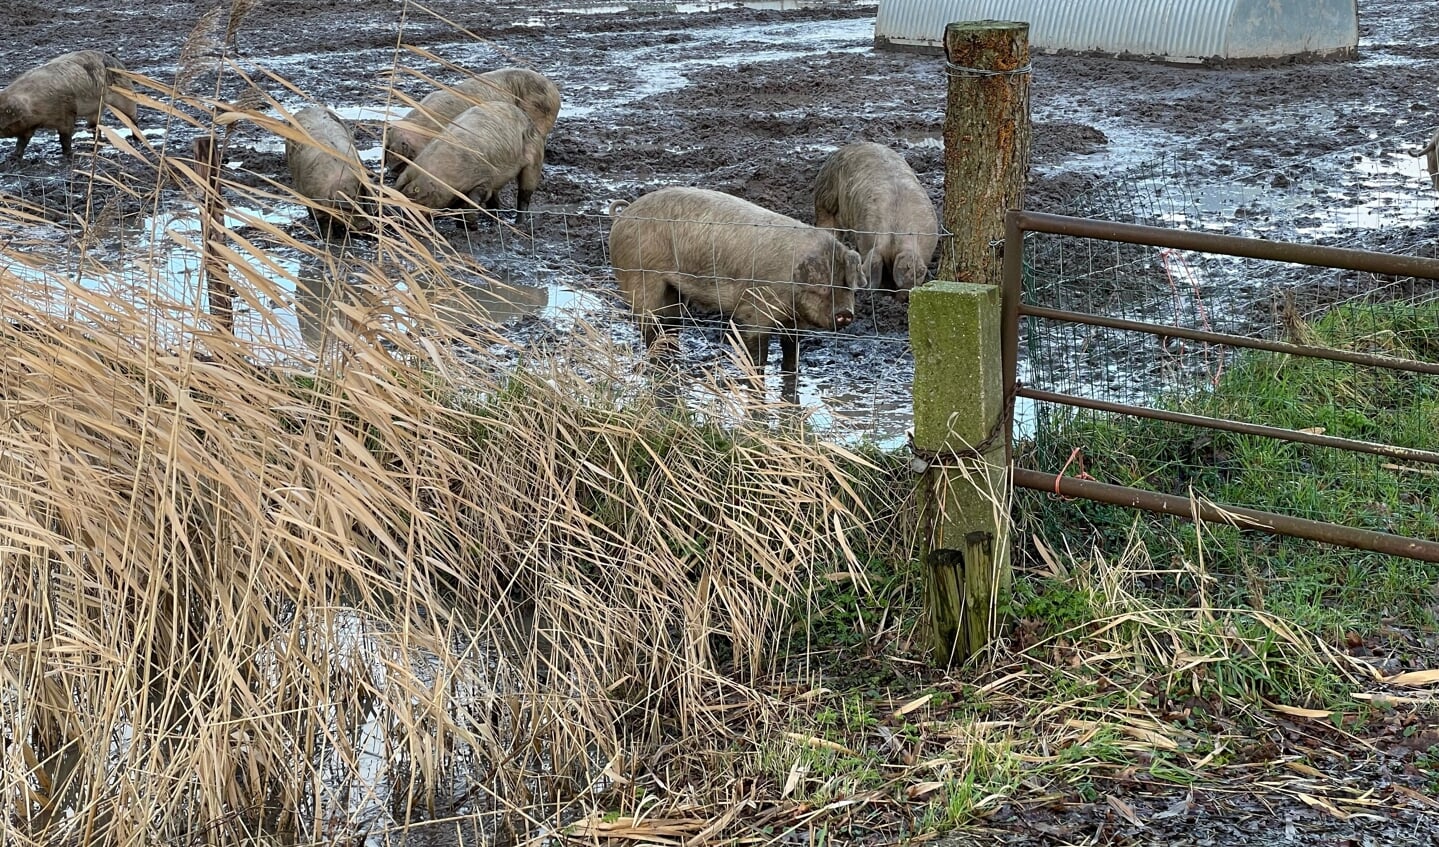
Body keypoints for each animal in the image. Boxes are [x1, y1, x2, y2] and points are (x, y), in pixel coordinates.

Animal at [0, 50, 138, 162]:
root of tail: (117, 61)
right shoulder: (29, 126)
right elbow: (23, 140)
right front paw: (13, 157)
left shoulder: (67, 111)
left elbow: (65, 136)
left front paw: (68, 155)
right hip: (95, 109)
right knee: (94, 125)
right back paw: (95, 143)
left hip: (125, 94)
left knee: (132, 118)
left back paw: (136, 139)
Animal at [284, 107, 374, 237]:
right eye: (346, 209)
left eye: (362, 203)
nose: (365, 227)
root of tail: (307, 109)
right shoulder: (315, 201)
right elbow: (324, 224)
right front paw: (329, 237)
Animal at [391, 99, 541, 222]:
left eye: (416, 195)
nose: (400, 215)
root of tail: (524, 114)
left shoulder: (483, 179)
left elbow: (473, 201)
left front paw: (470, 226)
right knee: (495, 199)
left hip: (534, 157)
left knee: (525, 193)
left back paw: (519, 223)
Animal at [604, 185, 857, 396]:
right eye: (821, 286)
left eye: (849, 285)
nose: (845, 313)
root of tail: (623, 215)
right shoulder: (754, 309)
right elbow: (757, 352)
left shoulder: (795, 321)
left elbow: (791, 350)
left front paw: (791, 375)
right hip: (640, 277)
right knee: (649, 325)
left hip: (674, 291)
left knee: (671, 325)